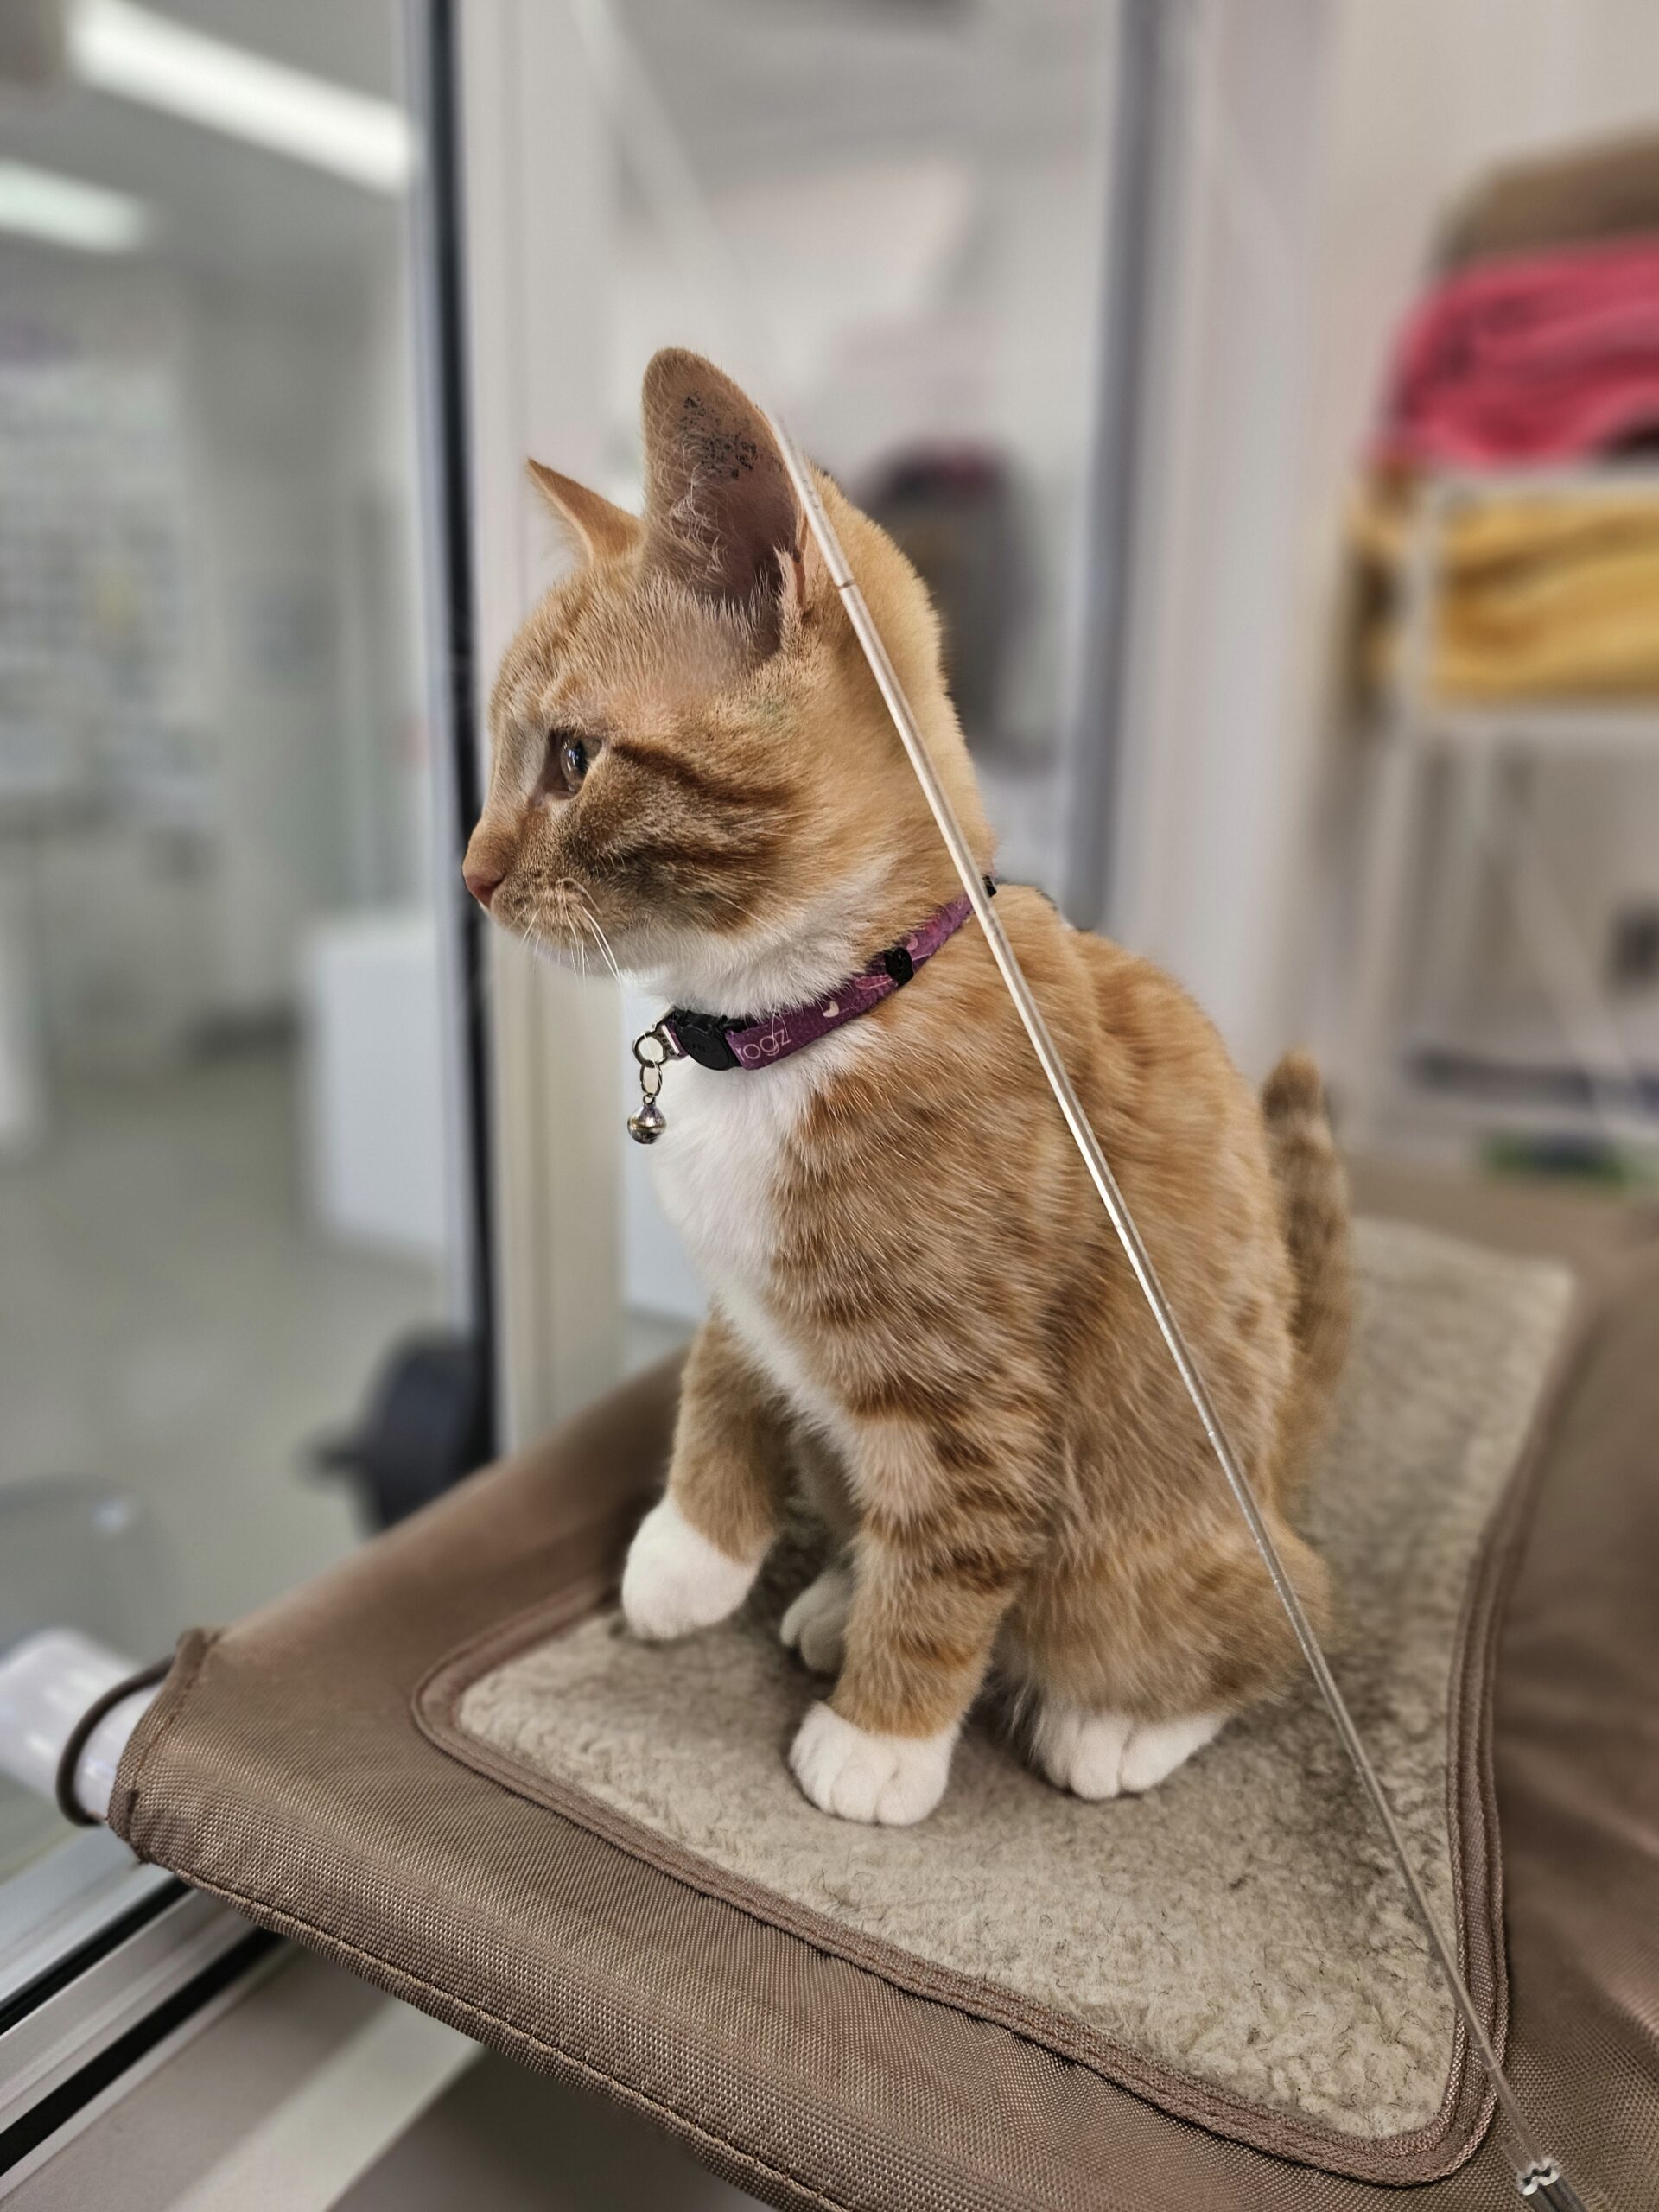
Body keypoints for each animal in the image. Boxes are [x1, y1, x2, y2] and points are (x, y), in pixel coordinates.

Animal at [464, 348, 1350, 1827]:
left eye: (574, 760)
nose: (470, 873)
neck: (805, 1019)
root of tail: (1279, 1460)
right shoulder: (744, 1293)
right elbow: (723, 1376)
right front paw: (691, 1551)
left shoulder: (977, 1396)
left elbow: (948, 1554)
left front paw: (882, 1740)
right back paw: (833, 1595)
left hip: (1164, 1562)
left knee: (1264, 1630)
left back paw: (1114, 1721)